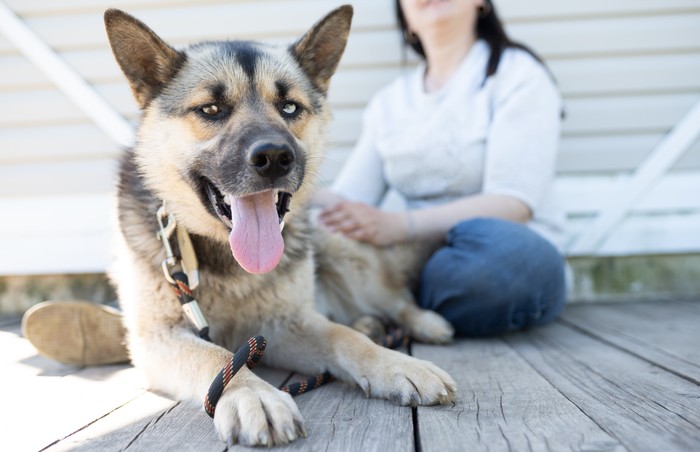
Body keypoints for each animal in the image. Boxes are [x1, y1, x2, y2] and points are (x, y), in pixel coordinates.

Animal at [102, 5, 454, 446]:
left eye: (289, 108)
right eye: (211, 110)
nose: (273, 157)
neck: (228, 258)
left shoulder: (288, 324)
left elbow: (342, 337)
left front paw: (395, 363)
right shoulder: (158, 339)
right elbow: (217, 357)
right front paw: (254, 394)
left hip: (343, 256)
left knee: (396, 299)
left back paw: (420, 323)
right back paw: (370, 322)